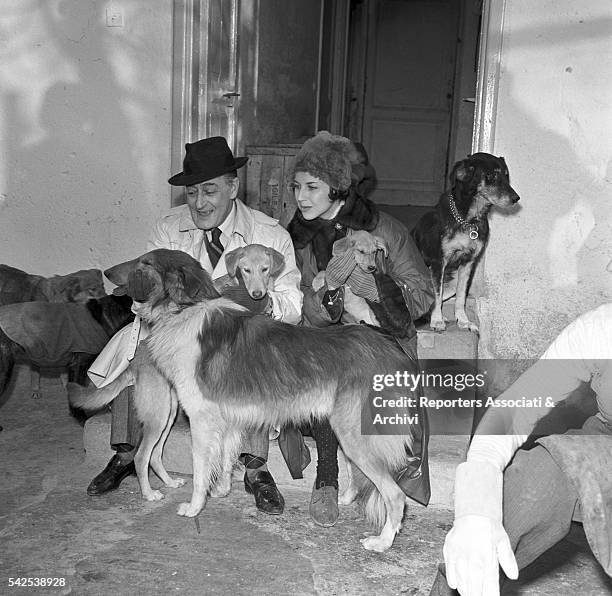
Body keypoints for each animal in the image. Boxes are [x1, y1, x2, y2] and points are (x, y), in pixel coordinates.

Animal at [71, 249, 424, 552]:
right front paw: (223, 490)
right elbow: (226, 457)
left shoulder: (202, 420)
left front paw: (195, 506)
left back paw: (382, 542)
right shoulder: (228, 418)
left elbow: (201, 469)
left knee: (395, 495)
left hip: (352, 433)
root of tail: (394, 352)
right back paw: (349, 500)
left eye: (144, 262)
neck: (185, 309)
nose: (106, 273)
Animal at [408, 151, 520, 332]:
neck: (468, 219)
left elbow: (461, 297)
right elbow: (437, 296)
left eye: (506, 175)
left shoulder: (468, 263)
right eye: (491, 176)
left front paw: (463, 321)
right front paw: (437, 321)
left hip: (452, 282)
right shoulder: (439, 262)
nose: (516, 199)